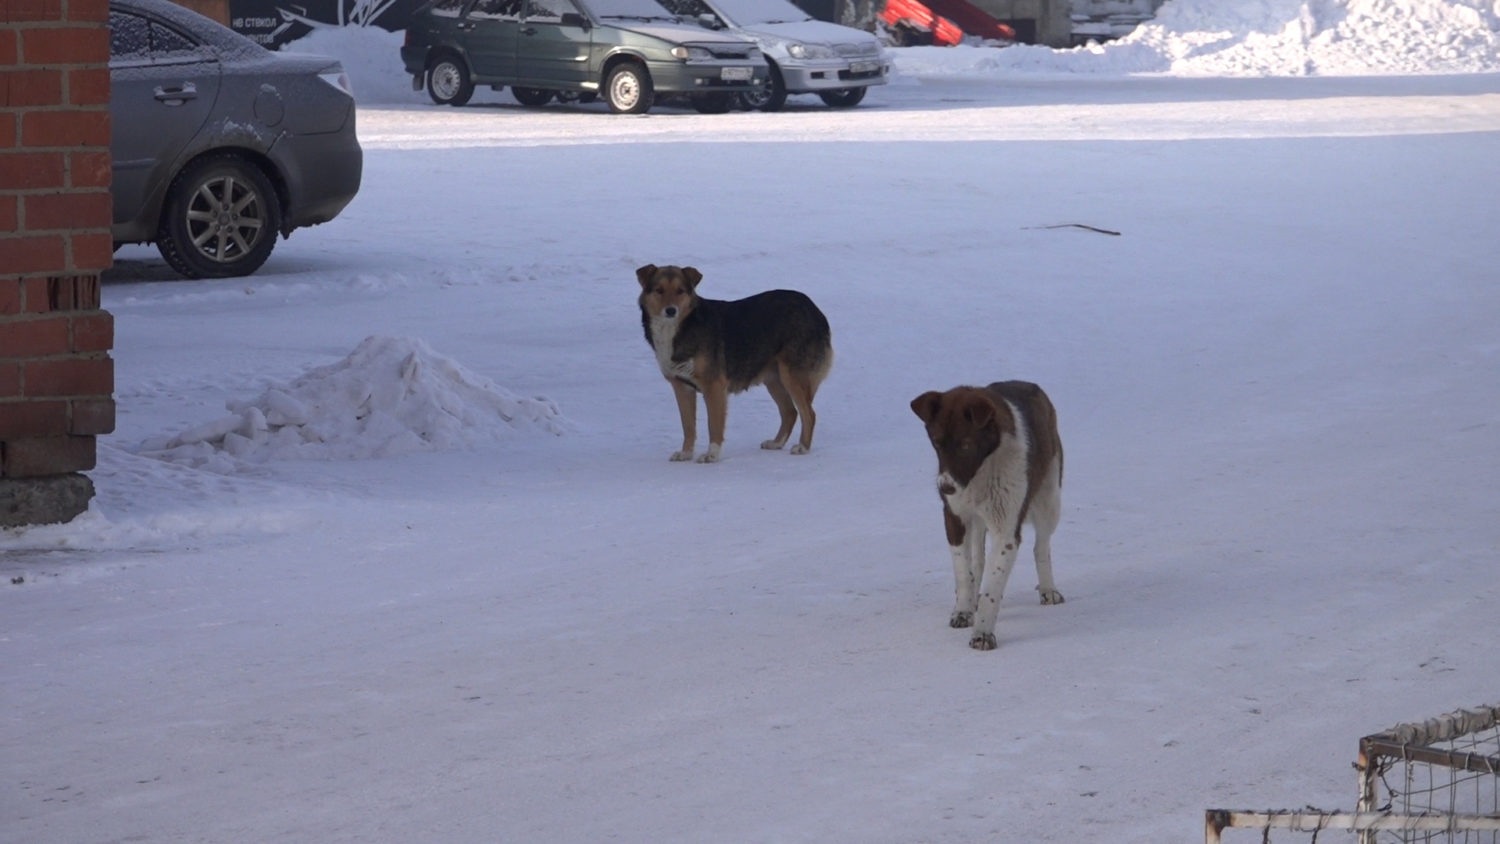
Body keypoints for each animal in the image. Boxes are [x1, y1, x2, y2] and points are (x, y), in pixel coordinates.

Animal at [639, 263, 840, 461]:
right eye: (659, 290)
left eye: (680, 291)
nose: (671, 311)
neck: (678, 328)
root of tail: (814, 309)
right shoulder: (682, 387)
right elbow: (688, 426)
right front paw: (686, 453)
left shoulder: (714, 386)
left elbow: (714, 424)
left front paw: (712, 454)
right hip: (774, 379)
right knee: (790, 412)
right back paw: (776, 443)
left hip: (792, 376)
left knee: (809, 414)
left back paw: (803, 447)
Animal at [906, 383, 1062, 653]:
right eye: (937, 442)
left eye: (966, 444)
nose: (945, 487)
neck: (980, 473)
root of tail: (1035, 388)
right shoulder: (955, 518)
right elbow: (964, 572)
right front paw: (963, 610)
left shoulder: (1006, 530)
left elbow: (993, 586)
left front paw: (983, 633)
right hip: (977, 523)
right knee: (978, 562)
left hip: (1049, 501)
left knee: (1041, 547)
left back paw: (1048, 589)